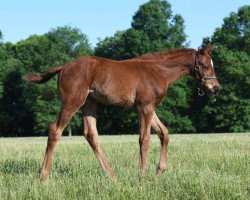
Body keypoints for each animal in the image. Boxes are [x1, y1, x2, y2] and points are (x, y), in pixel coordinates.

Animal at [25, 43, 220, 180]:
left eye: (212, 65)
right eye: (205, 66)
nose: (215, 88)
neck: (158, 71)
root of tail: (65, 66)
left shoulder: (148, 107)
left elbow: (164, 133)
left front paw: (160, 170)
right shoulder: (144, 108)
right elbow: (144, 139)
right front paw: (142, 175)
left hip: (89, 103)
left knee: (91, 135)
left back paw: (111, 175)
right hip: (72, 101)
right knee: (55, 130)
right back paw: (43, 175)